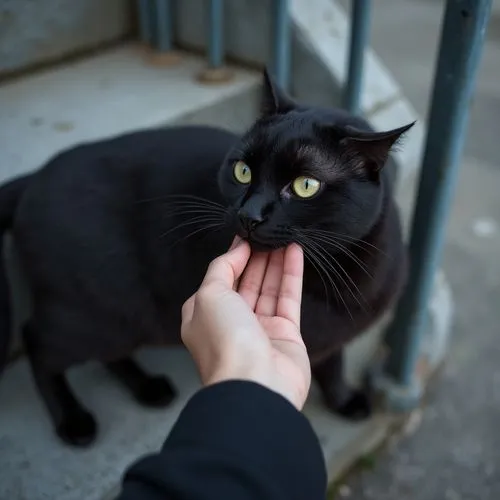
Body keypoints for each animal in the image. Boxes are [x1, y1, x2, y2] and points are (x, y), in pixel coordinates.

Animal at [0, 69, 414, 446]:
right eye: (243, 171)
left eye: (305, 186)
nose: (249, 215)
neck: (336, 279)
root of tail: (35, 175)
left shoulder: (334, 335)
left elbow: (333, 364)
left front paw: (344, 402)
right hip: (99, 311)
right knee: (38, 342)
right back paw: (73, 421)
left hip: (122, 318)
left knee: (107, 354)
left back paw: (149, 388)